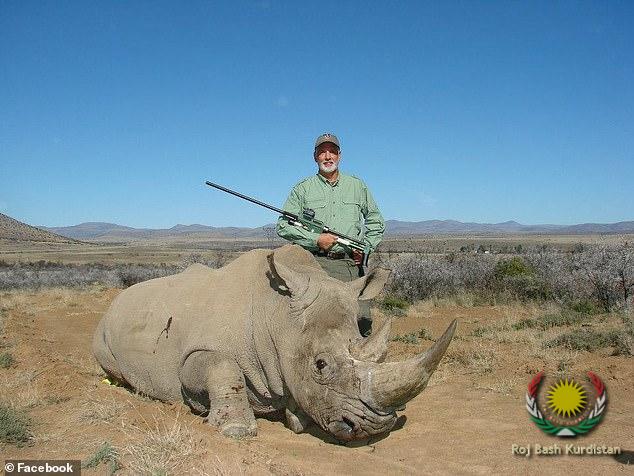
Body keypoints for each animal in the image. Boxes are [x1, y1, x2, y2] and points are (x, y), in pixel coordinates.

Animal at [93, 244, 456, 442]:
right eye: (320, 365)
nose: (375, 427)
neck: (275, 315)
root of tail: (118, 297)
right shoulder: (193, 353)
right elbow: (222, 366)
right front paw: (235, 430)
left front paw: (297, 419)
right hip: (105, 326)